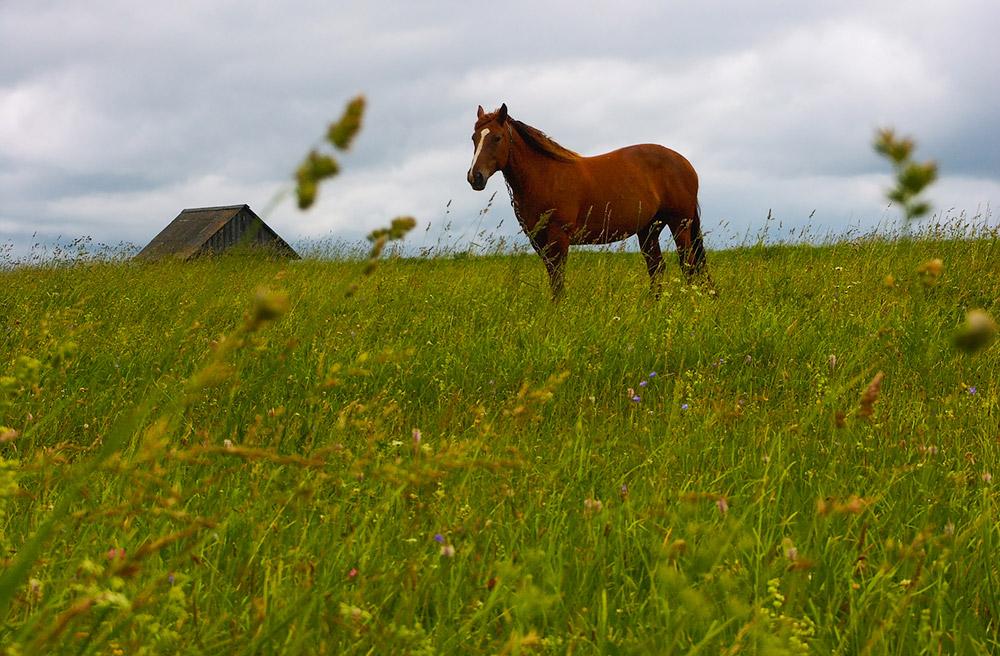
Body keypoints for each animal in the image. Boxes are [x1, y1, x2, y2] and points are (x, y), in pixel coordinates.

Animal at [464, 104, 708, 298]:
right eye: (474, 138)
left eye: (497, 138)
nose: (475, 177)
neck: (545, 175)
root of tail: (684, 162)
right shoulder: (539, 240)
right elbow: (553, 278)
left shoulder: (559, 237)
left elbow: (558, 280)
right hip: (649, 229)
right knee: (657, 268)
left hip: (679, 224)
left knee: (688, 265)